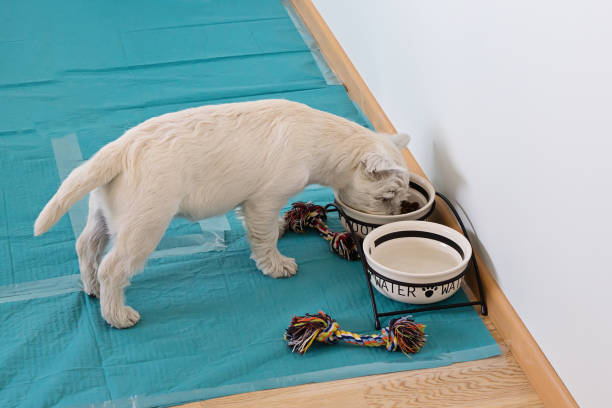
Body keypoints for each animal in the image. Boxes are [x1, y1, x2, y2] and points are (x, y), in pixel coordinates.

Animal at [35, 99, 414, 328]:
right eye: (387, 197)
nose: (398, 212)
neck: (323, 140)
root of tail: (118, 150)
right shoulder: (264, 199)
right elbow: (263, 236)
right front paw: (276, 264)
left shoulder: (256, 204)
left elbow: (265, 228)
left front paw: (281, 229)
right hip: (144, 225)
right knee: (113, 267)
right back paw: (117, 314)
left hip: (105, 214)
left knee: (87, 246)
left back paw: (92, 288)